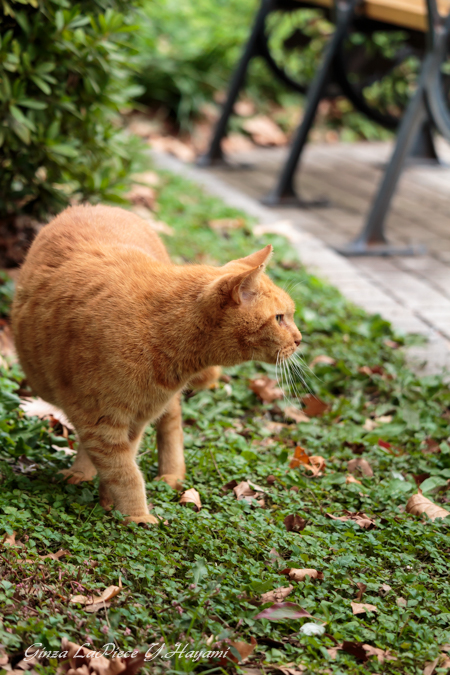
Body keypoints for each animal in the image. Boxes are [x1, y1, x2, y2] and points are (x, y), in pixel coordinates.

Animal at [12, 203, 302, 524]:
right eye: (280, 318)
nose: (300, 339)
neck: (160, 330)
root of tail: (97, 205)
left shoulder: (135, 418)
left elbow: (123, 463)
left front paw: (113, 505)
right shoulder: (100, 418)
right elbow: (124, 471)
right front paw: (136, 516)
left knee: (171, 423)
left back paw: (170, 476)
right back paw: (82, 474)